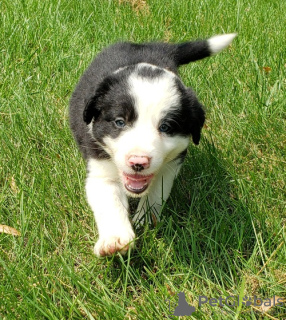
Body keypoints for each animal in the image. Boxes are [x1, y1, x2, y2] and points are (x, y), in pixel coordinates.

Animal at [70, 33, 237, 258]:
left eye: (165, 127)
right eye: (120, 122)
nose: (138, 162)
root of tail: (155, 47)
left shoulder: (171, 162)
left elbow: (157, 191)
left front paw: (145, 220)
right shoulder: (100, 167)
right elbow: (110, 203)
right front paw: (115, 241)